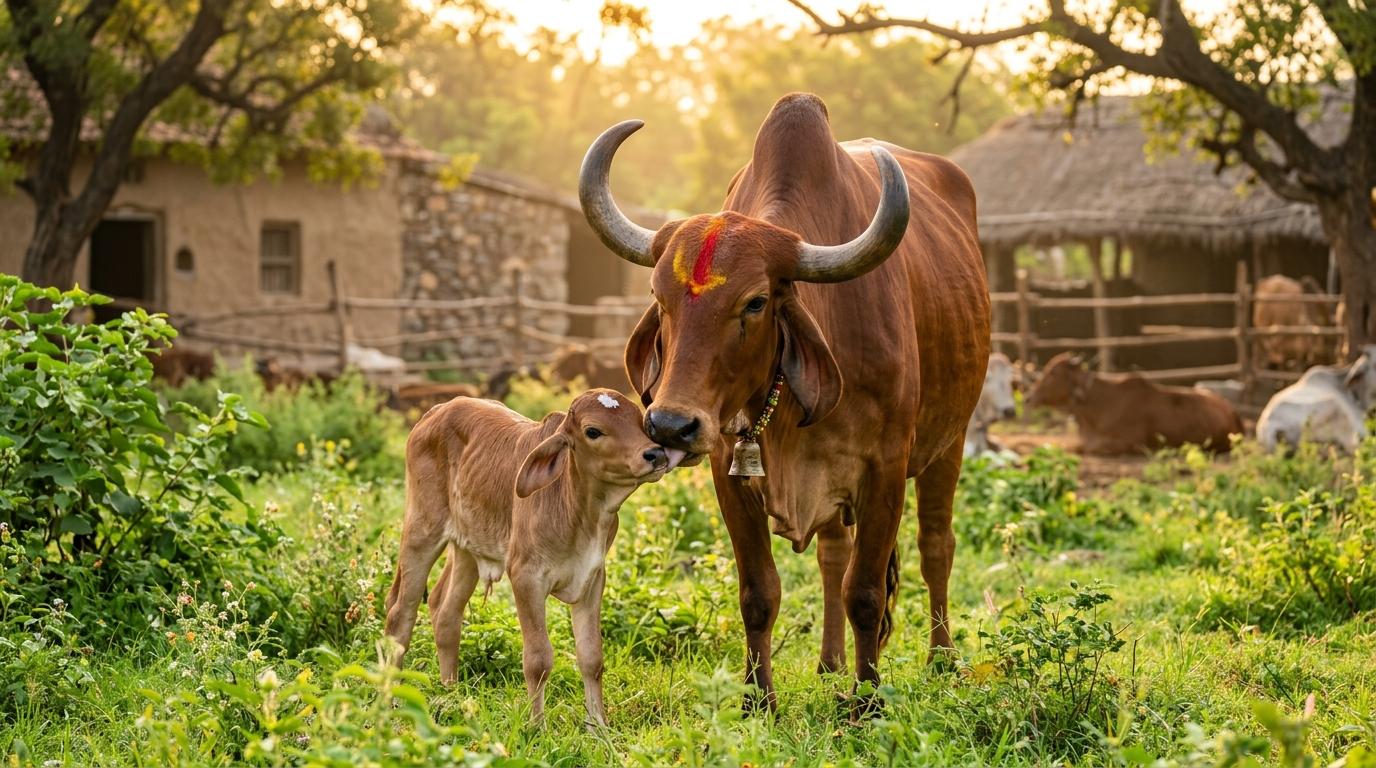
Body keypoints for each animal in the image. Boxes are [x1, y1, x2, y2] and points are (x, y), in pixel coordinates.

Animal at [579, 93, 990, 714]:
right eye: (658, 295)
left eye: (755, 302)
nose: (671, 424)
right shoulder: (729, 472)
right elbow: (760, 591)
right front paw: (758, 699)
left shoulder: (886, 468)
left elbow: (866, 592)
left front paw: (867, 702)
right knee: (832, 555)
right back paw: (829, 663)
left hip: (951, 441)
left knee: (935, 546)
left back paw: (940, 661)